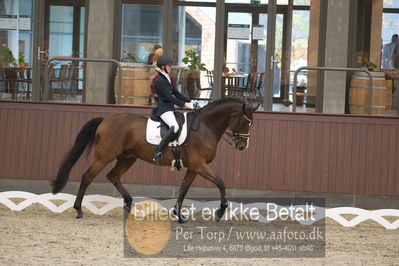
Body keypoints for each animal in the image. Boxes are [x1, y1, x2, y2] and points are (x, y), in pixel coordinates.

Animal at [52, 97, 260, 222]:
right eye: (245, 122)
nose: (243, 146)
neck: (205, 127)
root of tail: (105, 119)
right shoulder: (199, 165)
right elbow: (221, 182)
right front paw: (220, 211)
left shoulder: (193, 167)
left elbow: (184, 189)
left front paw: (179, 215)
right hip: (104, 156)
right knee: (87, 177)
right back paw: (79, 210)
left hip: (128, 158)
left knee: (113, 176)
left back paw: (129, 204)